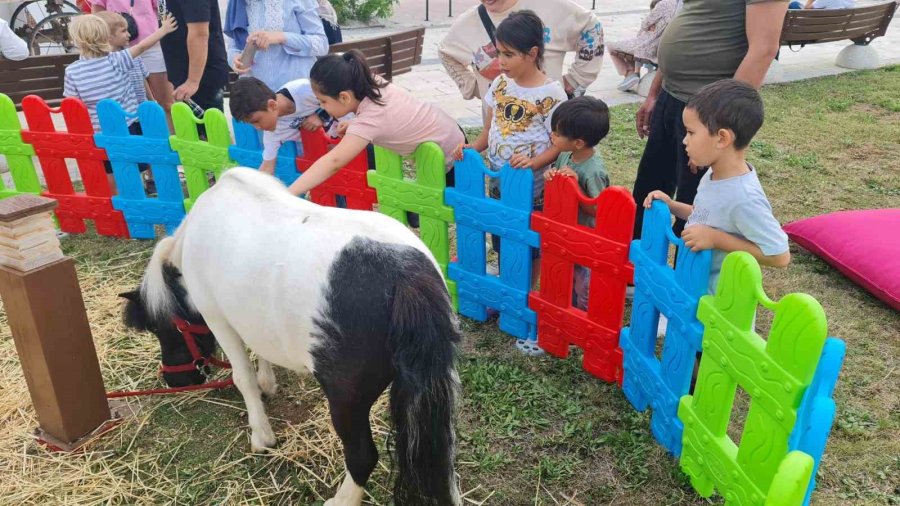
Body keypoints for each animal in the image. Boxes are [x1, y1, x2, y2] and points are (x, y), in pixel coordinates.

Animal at [121, 169, 464, 506]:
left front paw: (261, 433)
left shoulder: (217, 318)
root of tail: (405, 277)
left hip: (346, 399)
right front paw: (267, 382)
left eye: (162, 328)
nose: (174, 380)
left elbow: (242, 378)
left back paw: (342, 499)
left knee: (362, 456)